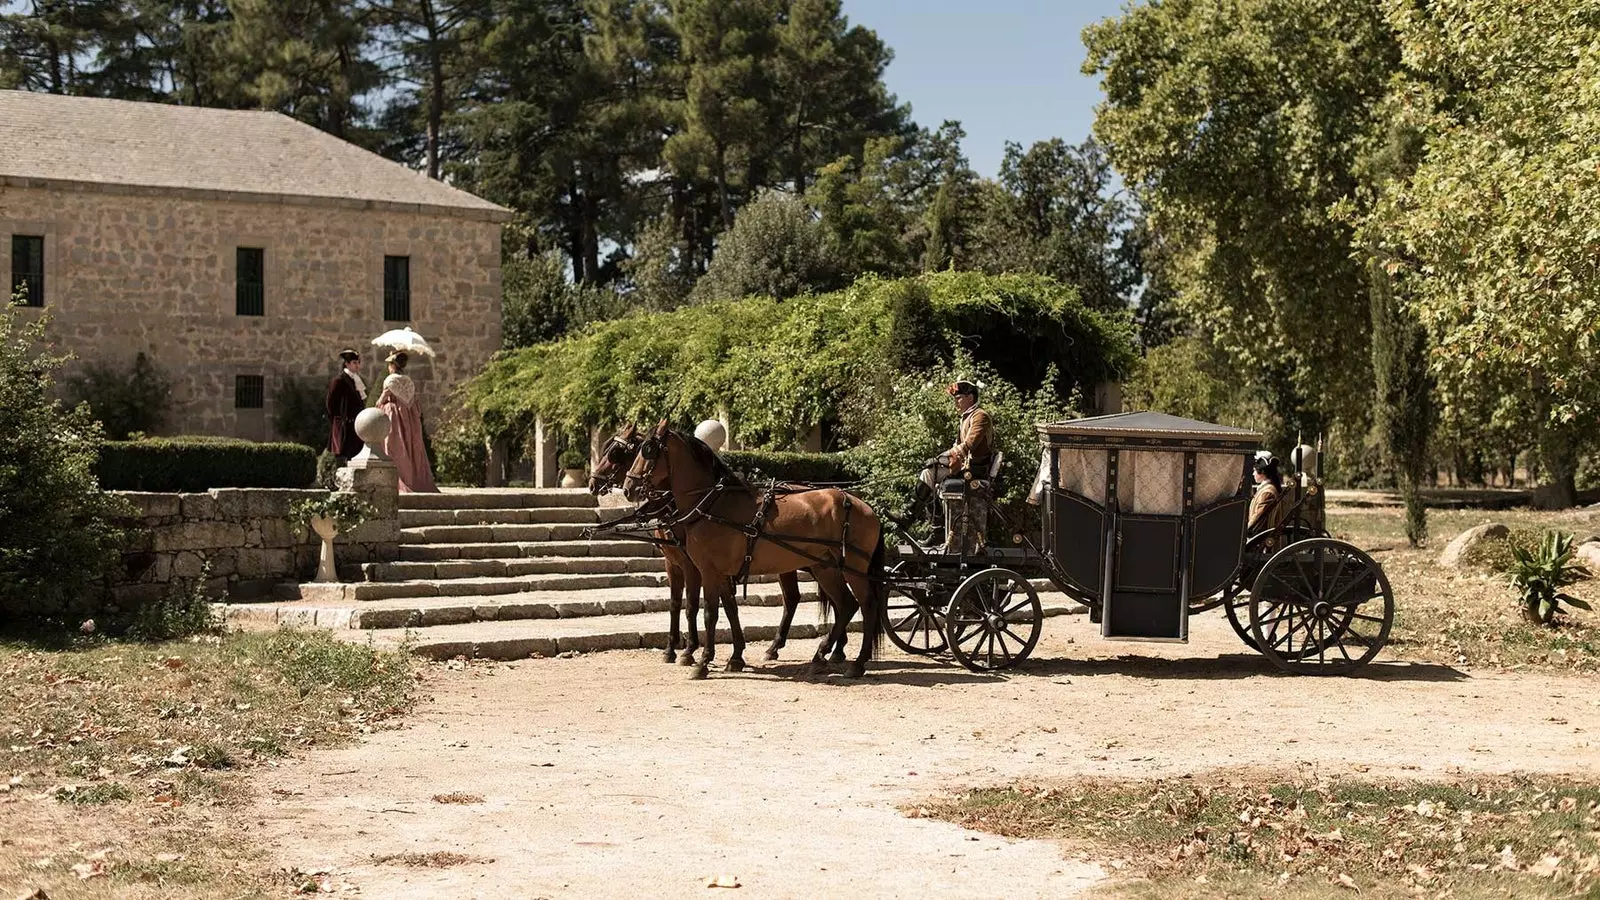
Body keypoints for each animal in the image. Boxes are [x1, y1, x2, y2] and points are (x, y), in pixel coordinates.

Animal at [620, 419, 889, 672]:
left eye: (648, 449)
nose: (628, 488)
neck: (713, 504)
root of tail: (863, 505)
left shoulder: (705, 569)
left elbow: (708, 612)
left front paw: (701, 660)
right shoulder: (718, 572)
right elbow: (727, 609)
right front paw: (733, 657)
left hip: (853, 568)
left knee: (867, 605)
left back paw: (857, 662)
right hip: (825, 568)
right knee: (845, 605)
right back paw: (821, 654)